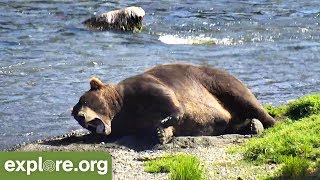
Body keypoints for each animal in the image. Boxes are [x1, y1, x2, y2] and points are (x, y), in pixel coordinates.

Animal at [72, 64, 276, 144]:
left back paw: (268, 123)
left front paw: (167, 121)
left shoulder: (141, 87)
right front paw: (162, 133)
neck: (120, 110)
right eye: (77, 118)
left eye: (84, 100)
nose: (80, 115)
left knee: (244, 99)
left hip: (214, 81)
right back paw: (252, 125)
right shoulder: (133, 122)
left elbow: (166, 98)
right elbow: (157, 127)